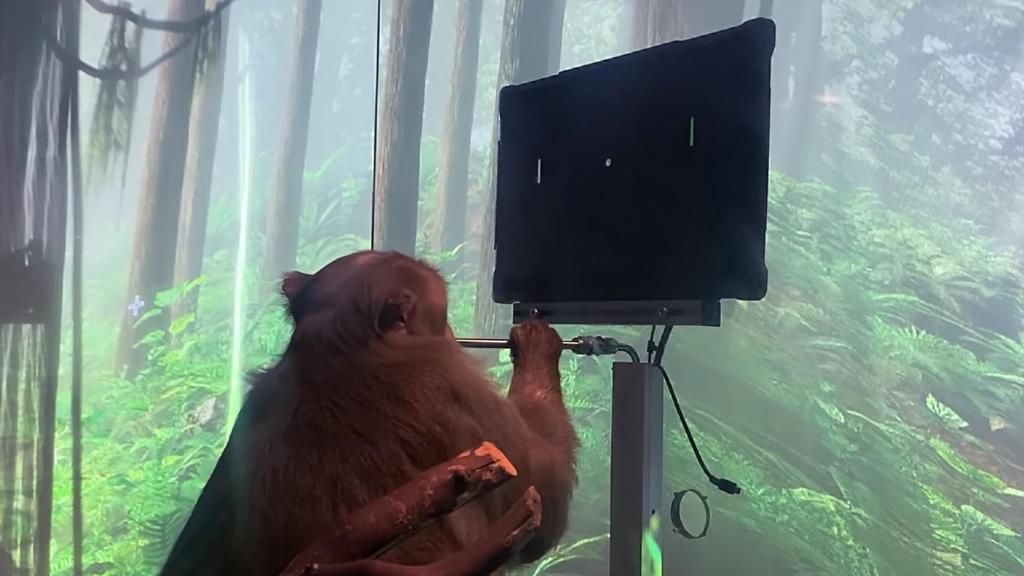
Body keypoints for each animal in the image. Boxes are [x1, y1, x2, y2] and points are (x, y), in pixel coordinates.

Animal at [160, 250, 578, 576]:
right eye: (441, 319)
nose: (451, 332)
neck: (336, 346)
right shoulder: (453, 384)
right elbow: (545, 490)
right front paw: (538, 343)